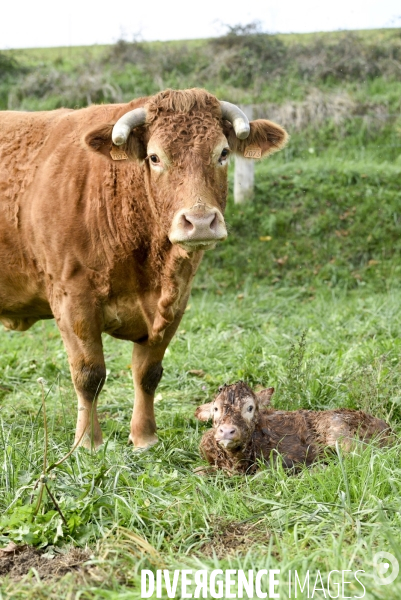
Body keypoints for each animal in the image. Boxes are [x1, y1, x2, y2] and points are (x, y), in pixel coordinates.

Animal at [0, 88, 288, 446]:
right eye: (154, 157)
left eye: (222, 153)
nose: (200, 222)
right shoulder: (72, 300)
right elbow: (88, 375)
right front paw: (87, 442)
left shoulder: (175, 303)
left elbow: (147, 373)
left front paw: (144, 437)